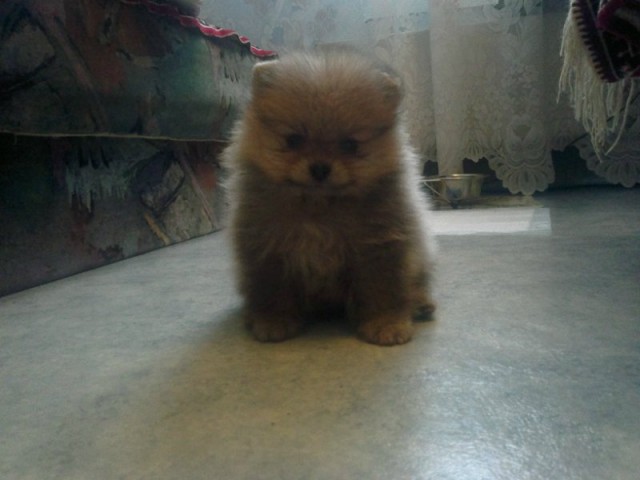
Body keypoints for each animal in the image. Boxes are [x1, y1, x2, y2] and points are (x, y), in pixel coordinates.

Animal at [223, 49, 436, 345]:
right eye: (294, 140)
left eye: (349, 145)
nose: (320, 168)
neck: (319, 209)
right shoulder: (267, 247)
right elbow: (272, 289)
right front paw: (273, 321)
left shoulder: (378, 247)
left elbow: (382, 290)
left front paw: (387, 324)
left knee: (416, 283)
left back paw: (420, 304)